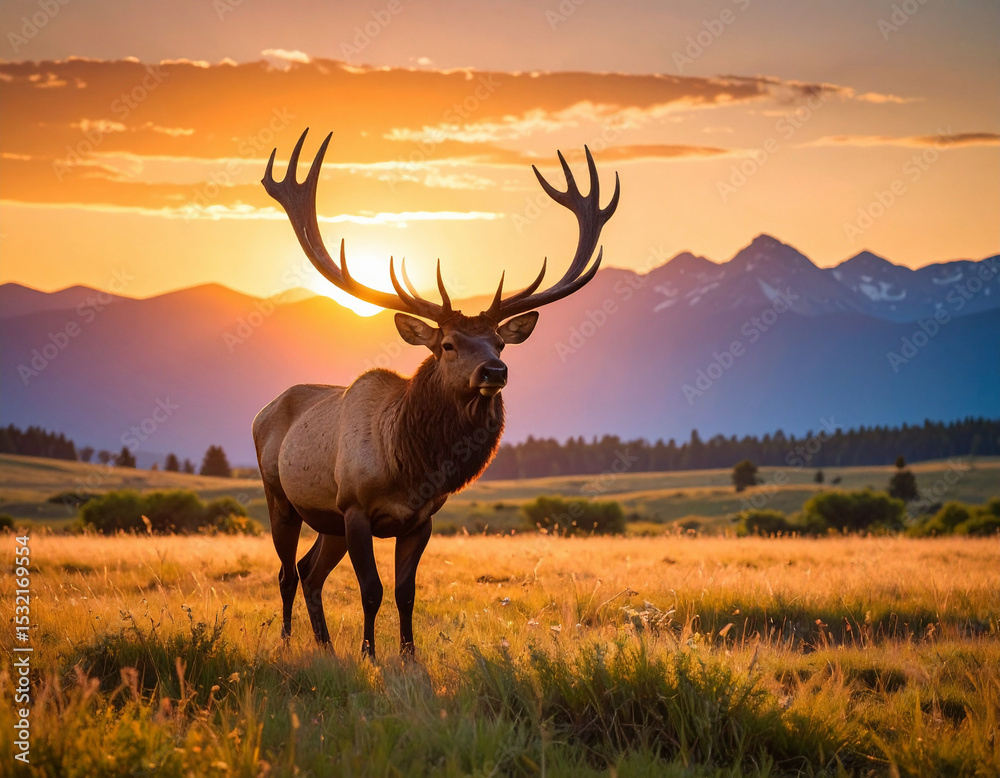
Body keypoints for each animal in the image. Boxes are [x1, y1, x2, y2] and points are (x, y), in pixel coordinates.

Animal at [253, 129, 619, 661]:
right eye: (448, 344)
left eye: (500, 342)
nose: (495, 370)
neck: (411, 464)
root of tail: (263, 411)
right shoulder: (356, 507)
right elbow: (372, 590)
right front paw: (369, 654)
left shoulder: (420, 520)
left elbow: (406, 592)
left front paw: (407, 655)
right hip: (281, 496)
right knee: (285, 571)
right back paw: (286, 640)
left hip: (328, 521)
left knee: (308, 570)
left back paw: (324, 645)